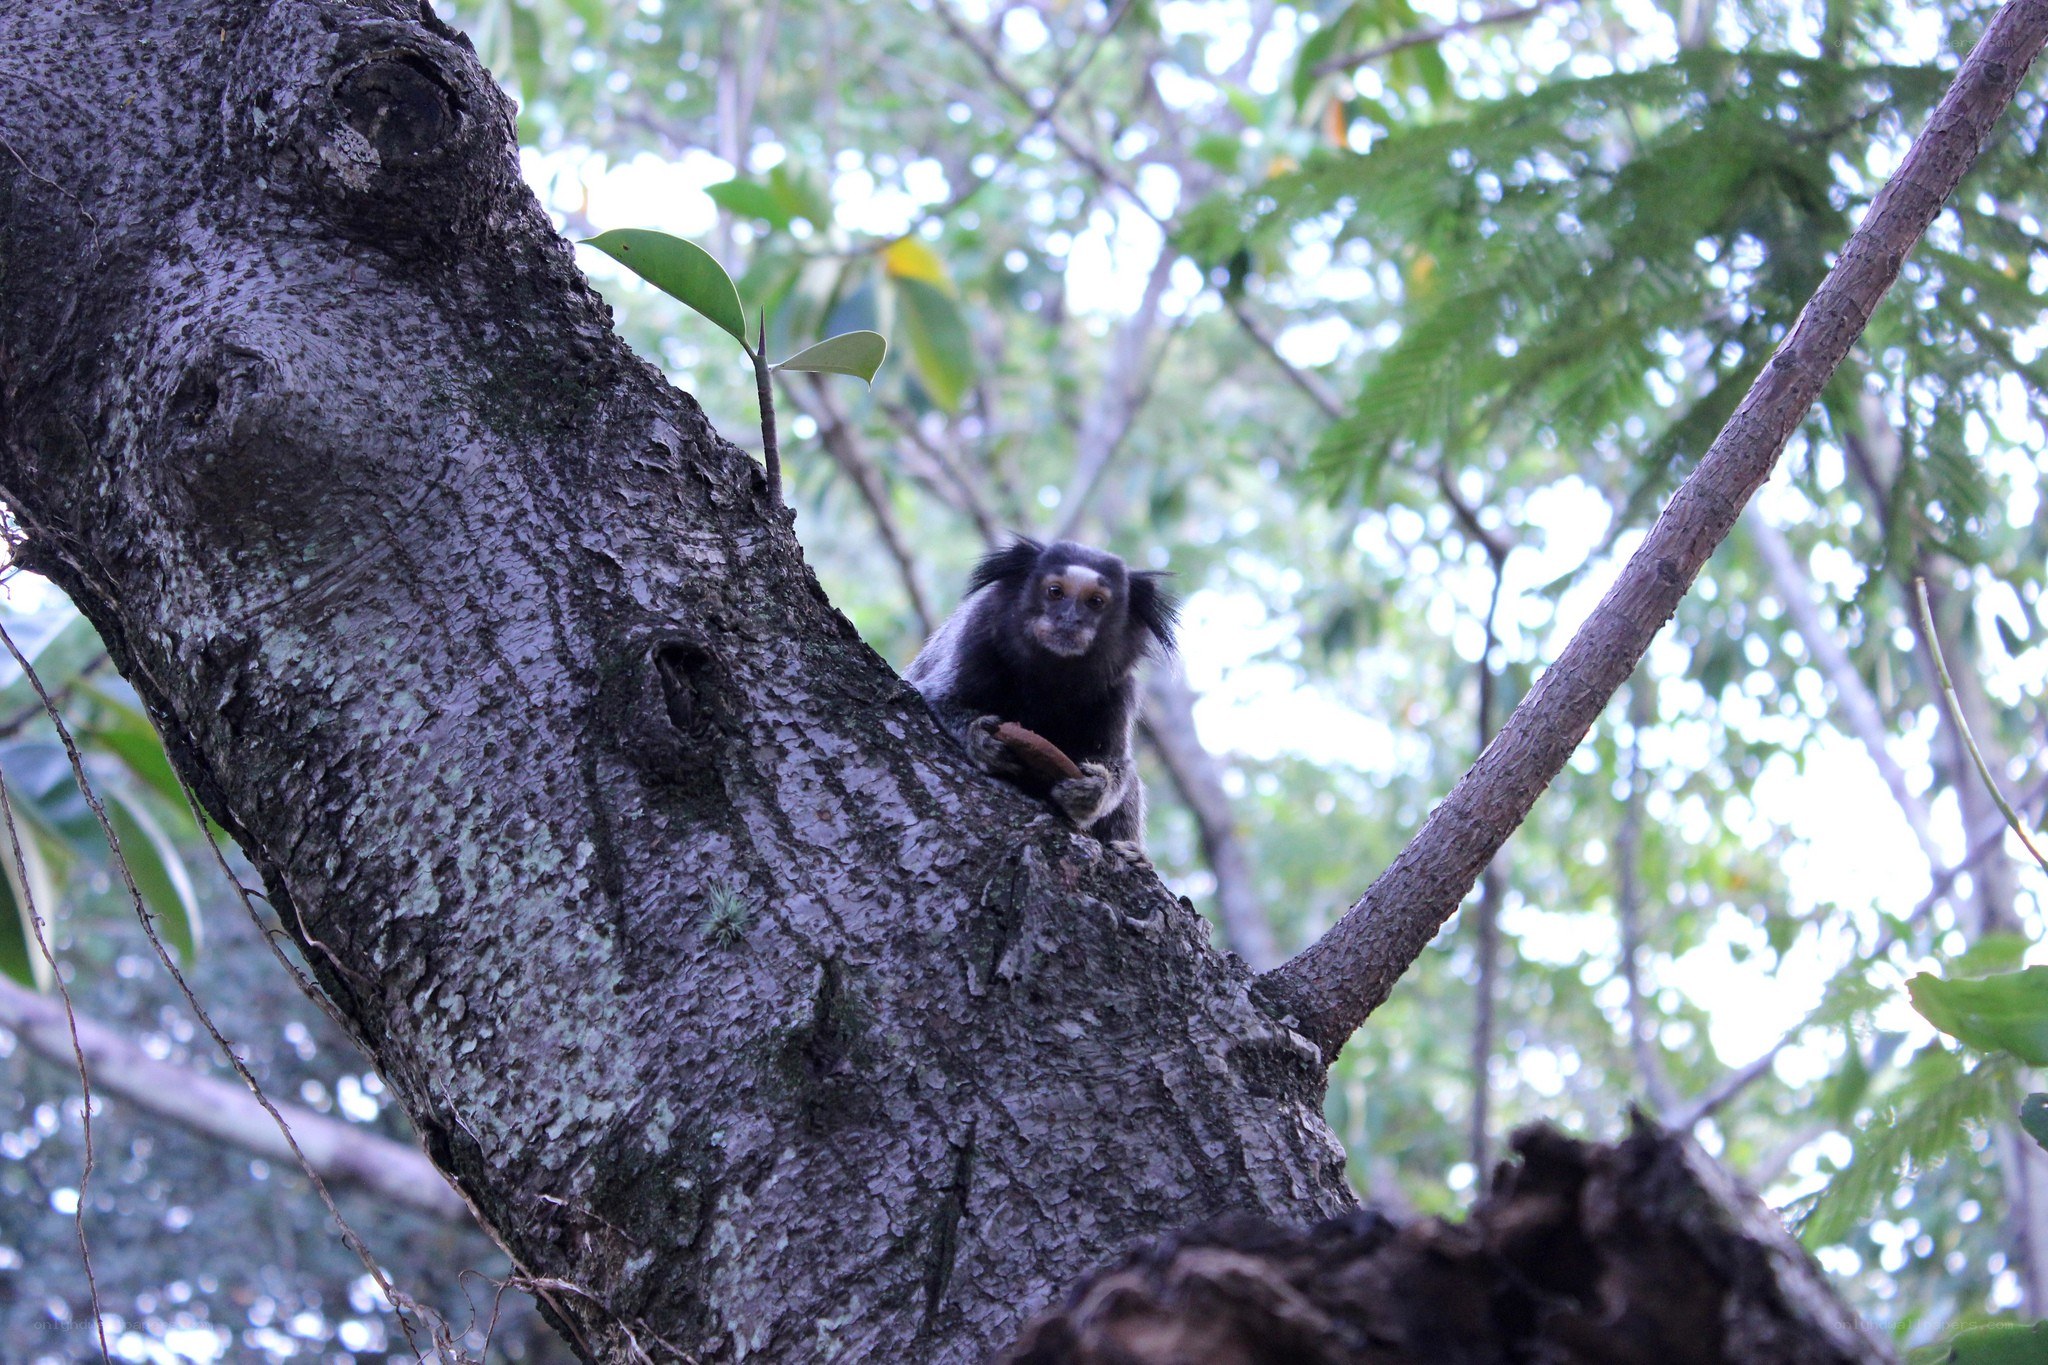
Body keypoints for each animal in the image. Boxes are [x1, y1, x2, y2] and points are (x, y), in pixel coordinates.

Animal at [906, 537, 1177, 862]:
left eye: (1095, 601)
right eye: (1055, 592)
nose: (1069, 619)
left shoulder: (1118, 689)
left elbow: (1117, 763)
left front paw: (1092, 791)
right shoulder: (977, 633)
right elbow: (937, 696)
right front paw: (980, 738)